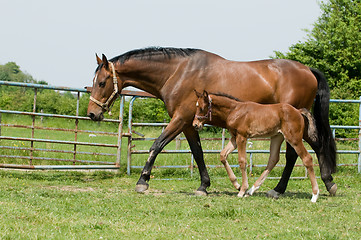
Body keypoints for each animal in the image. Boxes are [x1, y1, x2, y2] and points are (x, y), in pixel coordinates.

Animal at [86, 46, 336, 197]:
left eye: (102, 82)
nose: (92, 114)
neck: (178, 72)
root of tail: (307, 69)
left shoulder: (179, 119)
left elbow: (156, 145)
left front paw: (143, 181)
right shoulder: (189, 124)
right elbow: (198, 153)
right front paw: (204, 186)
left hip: (291, 127)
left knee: (297, 154)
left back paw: (284, 188)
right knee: (313, 147)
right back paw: (325, 183)